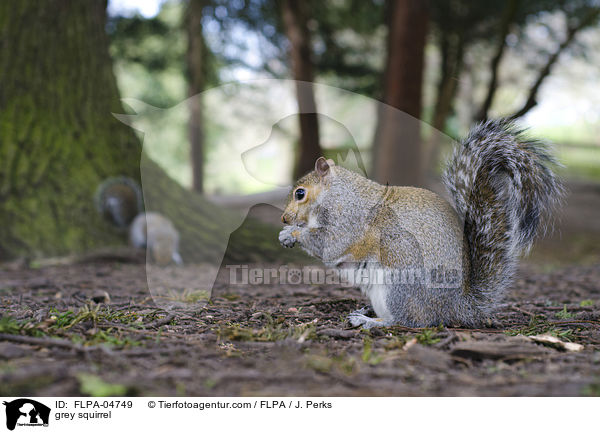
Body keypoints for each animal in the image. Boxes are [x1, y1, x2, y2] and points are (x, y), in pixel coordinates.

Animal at [278, 118, 564, 328]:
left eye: (300, 193)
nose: (284, 218)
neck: (338, 194)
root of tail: (458, 307)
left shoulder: (348, 220)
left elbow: (329, 243)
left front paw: (292, 234)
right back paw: (367, 312)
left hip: (399, 284)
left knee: (409, 321)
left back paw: (372, 322)